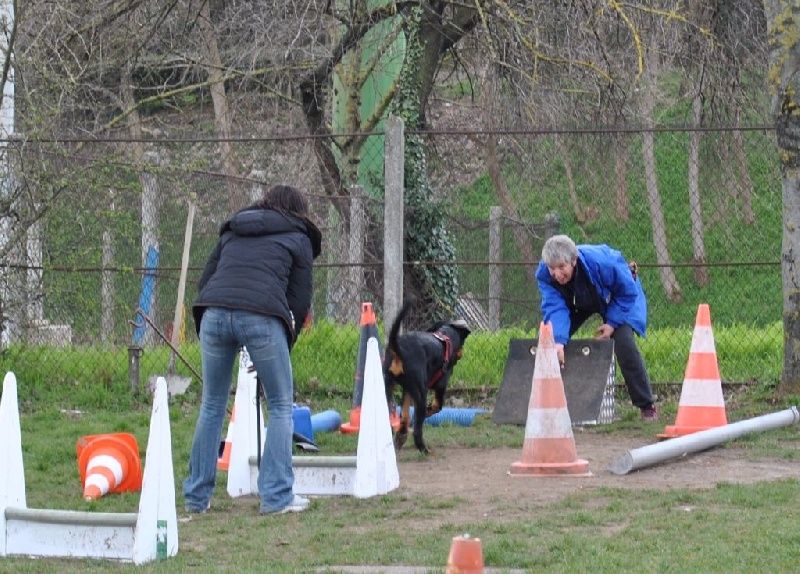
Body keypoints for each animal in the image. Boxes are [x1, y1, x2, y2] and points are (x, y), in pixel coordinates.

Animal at [384, 300, 472, 456]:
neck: (446, 337)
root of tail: (398, 347)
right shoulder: (441, 385)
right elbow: (437, 406)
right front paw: (428, 411)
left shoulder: (407, 390)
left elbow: (405, 416)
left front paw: (401, 436)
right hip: (421, 393)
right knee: (418, 431)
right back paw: (425, 450)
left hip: (388, 386)